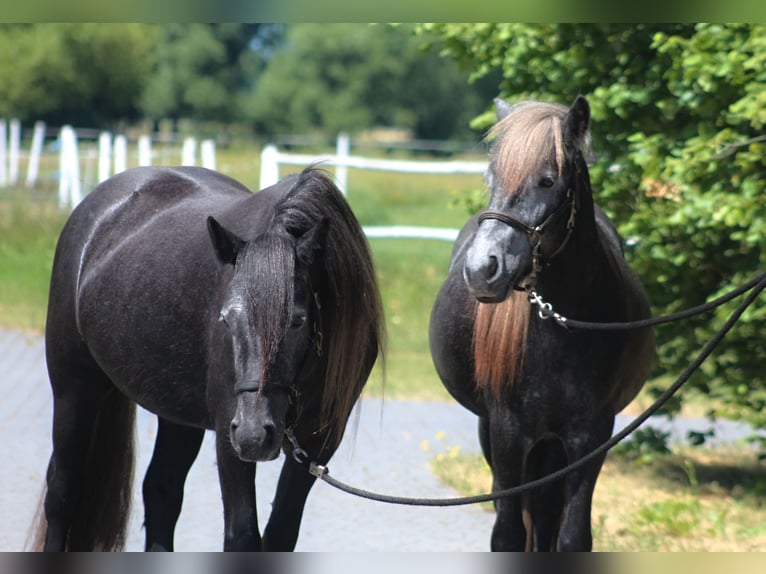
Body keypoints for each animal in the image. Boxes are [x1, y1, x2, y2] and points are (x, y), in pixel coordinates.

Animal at [29, 166, 384, 551]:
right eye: (226, 319)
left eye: (298, 320)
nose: (254, 435)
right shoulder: (229, 433)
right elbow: (242, 535)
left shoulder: (320, 443)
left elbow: (281, 533)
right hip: (74, 388)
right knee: (63, 491)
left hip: (176, 413)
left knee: (161, 492)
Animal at [429, 96, 655, 551]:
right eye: (491, 177)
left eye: (548, 181)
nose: (481, 269)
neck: (561, 326)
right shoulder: (507, 432)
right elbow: (508, 533)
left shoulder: (592, 434)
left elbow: (571, 536)